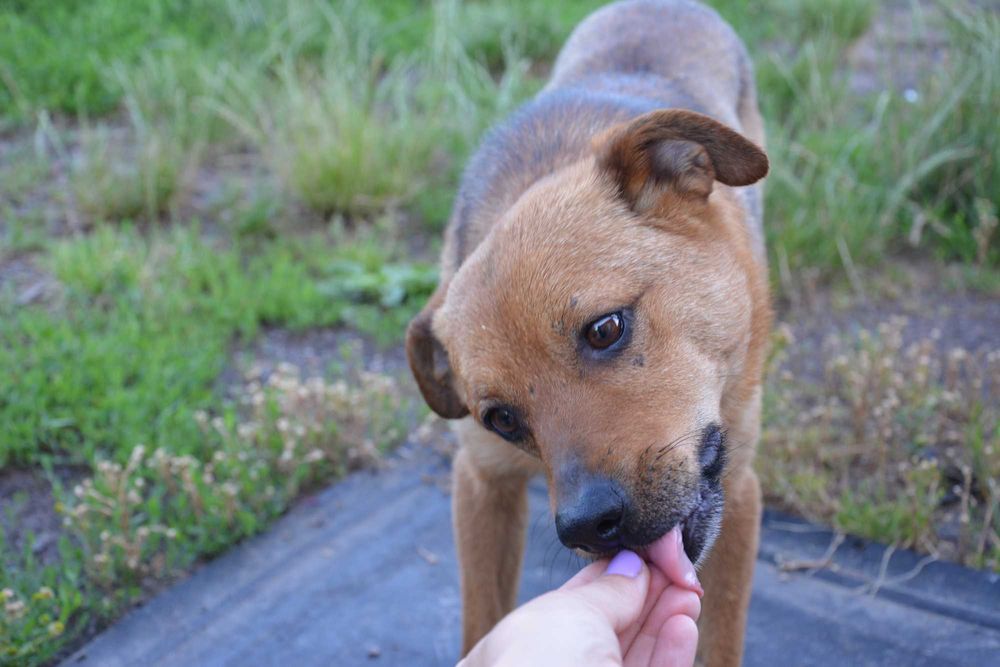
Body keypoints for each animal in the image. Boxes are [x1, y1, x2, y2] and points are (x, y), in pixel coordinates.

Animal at [406, 2, 772, 664]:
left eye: (605, 329)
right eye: (500, 418)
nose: (586, 527)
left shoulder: (741, 490)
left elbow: (721, 639)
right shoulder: (481, 482)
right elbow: (481, 620)